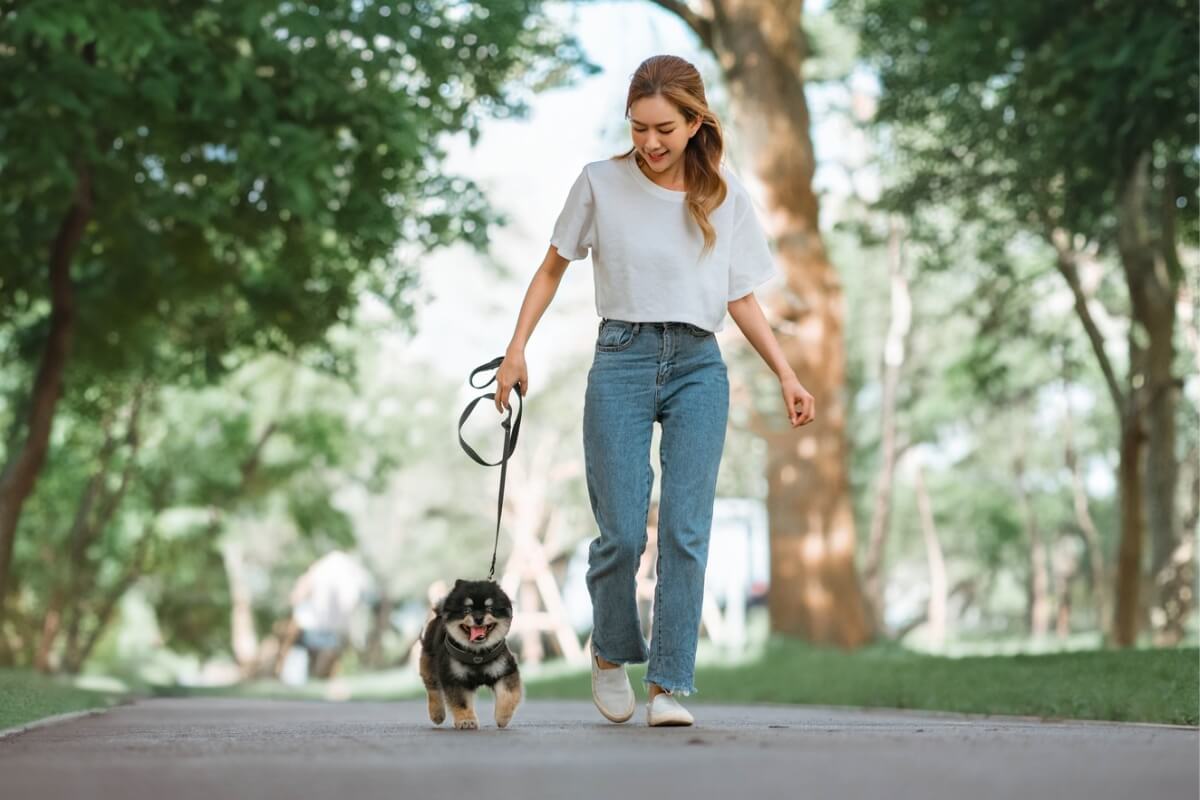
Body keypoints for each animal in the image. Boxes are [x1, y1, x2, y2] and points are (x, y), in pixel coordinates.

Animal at [417, 578, 520, 729]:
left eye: (489, 609)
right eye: (467, 610)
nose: (478, 618)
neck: (477, 654)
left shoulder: (505, 670)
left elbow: (508, 694)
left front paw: (503, 717)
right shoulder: (454, 677)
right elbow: (461, 703)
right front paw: (466, 720)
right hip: (429, 663)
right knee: (433, 688)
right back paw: (437, 714)